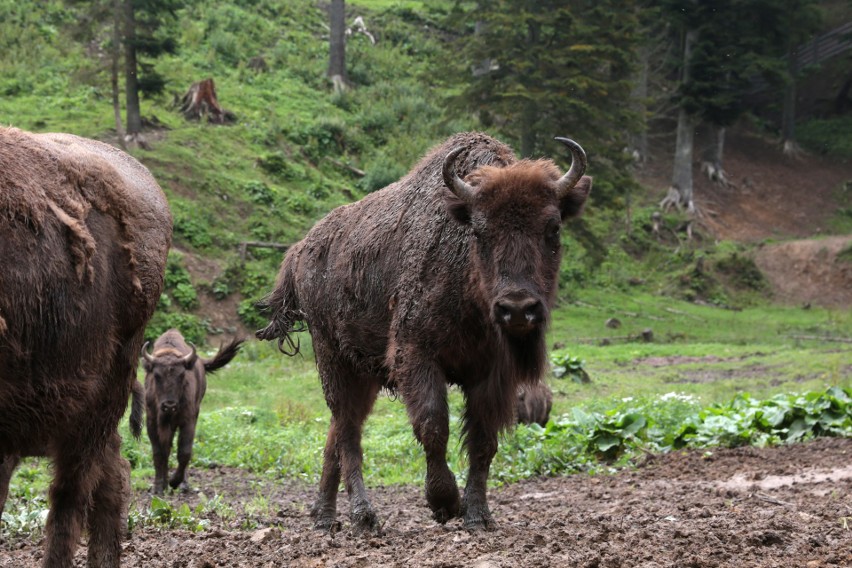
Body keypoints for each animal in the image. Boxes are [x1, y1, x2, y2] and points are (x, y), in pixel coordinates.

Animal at [142, 328, 243, 492]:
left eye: (182, 374)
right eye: (156, 375)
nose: (169, 406)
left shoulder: (188, 421)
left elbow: (184, 452)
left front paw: (174, 482)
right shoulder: (152, 422)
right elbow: (158, 452)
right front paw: (158, 487)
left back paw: (183, 484)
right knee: (166, 450)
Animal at [258, 132, 592, 532]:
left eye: (553, 227)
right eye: (479, 230)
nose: (517, 308)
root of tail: (299, 251)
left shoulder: (493, 374)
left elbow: (483, 441)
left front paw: (477, 515)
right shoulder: (416, 356)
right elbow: (433, 426)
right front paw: (444, 503)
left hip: (363, 374)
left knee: (336, 432)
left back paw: (323, 516)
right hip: (332, 359)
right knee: (348, 431)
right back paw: (363, 516)